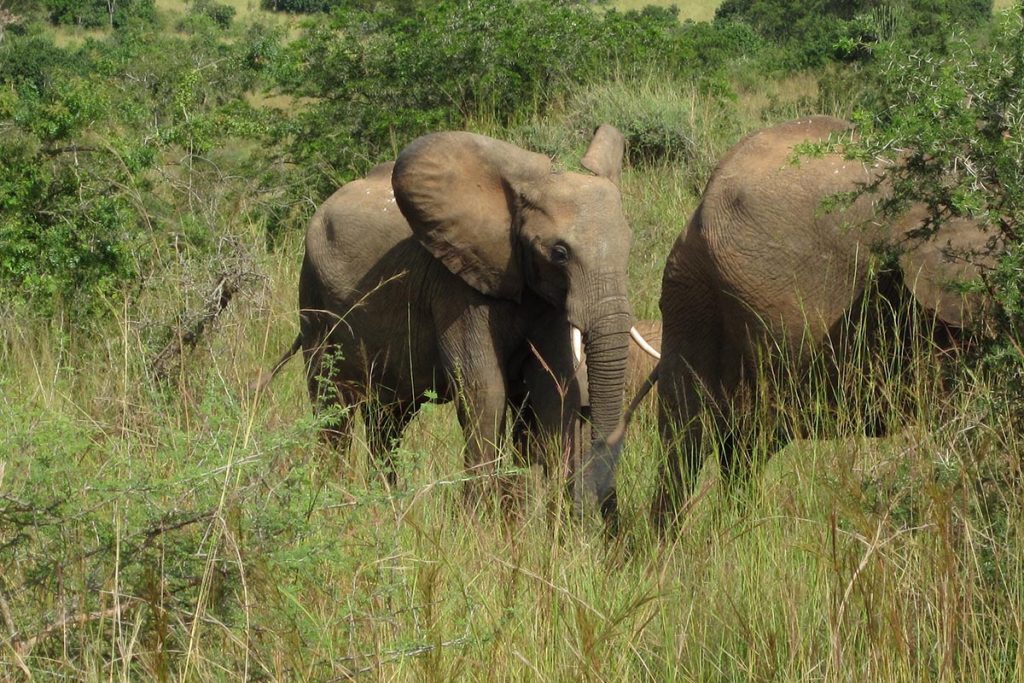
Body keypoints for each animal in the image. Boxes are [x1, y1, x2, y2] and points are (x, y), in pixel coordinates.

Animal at [262, 125, 655, 520]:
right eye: (559, 253)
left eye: (629, 246)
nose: (594, 510)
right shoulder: (455, 286)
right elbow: (484, 388)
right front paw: (478, 518)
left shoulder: (546, 299)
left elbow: (555, 389)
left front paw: (548, 522)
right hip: (313, 294)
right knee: (333, 406)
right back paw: (331, 501)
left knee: (387, 420)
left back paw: (385, 505)